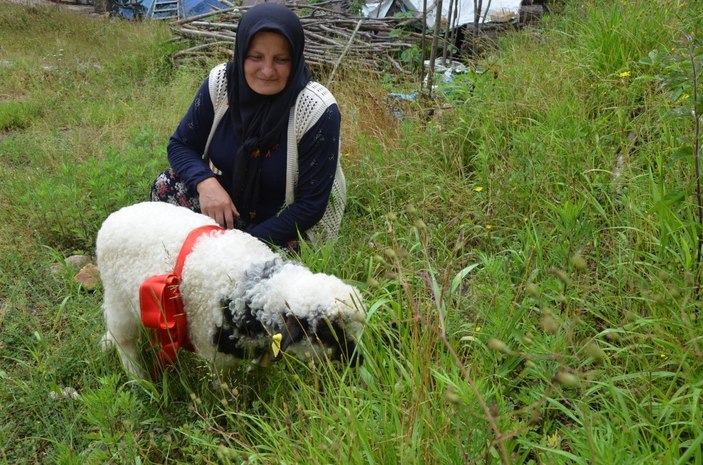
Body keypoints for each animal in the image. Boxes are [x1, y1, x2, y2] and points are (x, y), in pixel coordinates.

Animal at [96, 201, 366, 378]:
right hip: (118, 299)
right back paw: (138, 378)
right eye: (323, 332)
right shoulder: (214, 355)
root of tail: (116, 216)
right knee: (124, 340)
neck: (253, 289)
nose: (358, 359)